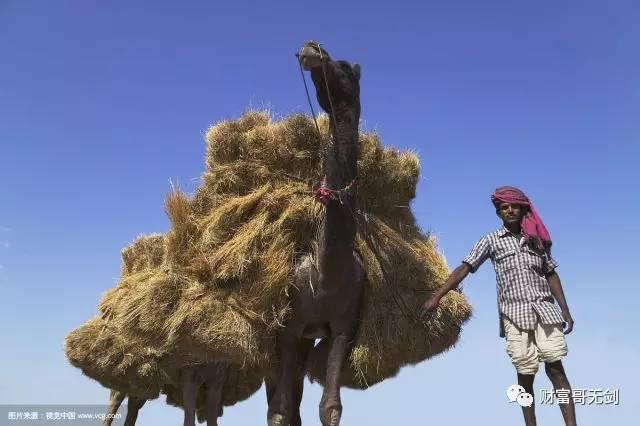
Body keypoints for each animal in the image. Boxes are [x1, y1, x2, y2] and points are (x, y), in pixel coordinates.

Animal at [264, 41, 364, 426]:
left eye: (344, 68)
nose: (312, 49)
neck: (327, 274)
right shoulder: (288, 325)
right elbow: (279, 411)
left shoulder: (343, 326)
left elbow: (330, 406)